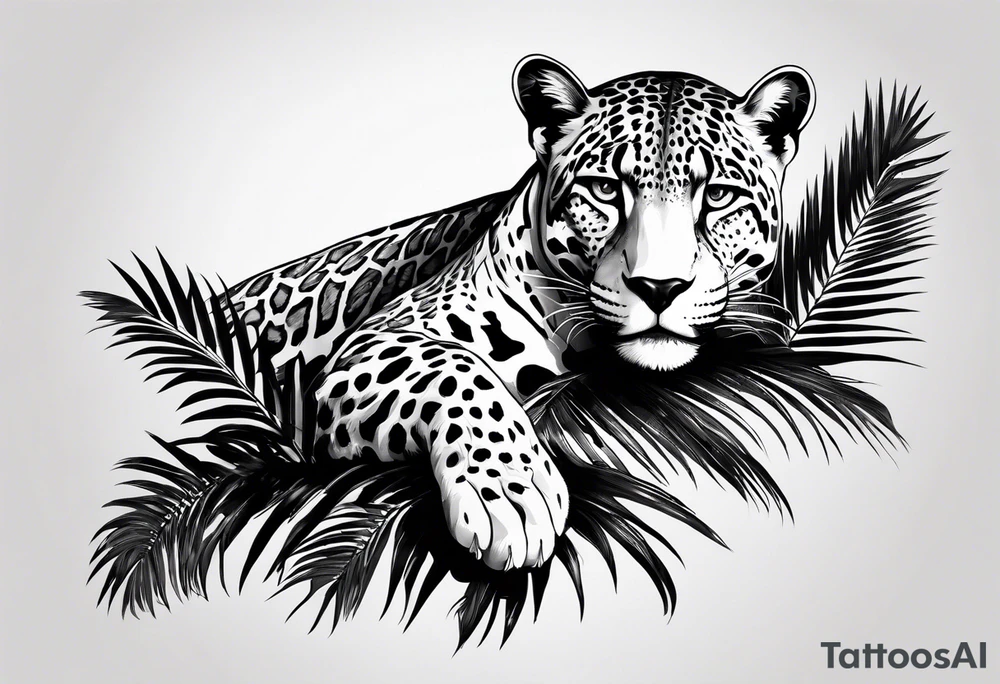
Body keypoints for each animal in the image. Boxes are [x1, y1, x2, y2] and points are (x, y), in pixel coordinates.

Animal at [227, 55, 815, 571]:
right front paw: (513, 496)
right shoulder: (370, 345)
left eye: (718, 196)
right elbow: (458, 370)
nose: (659, 286)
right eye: (605, 189)